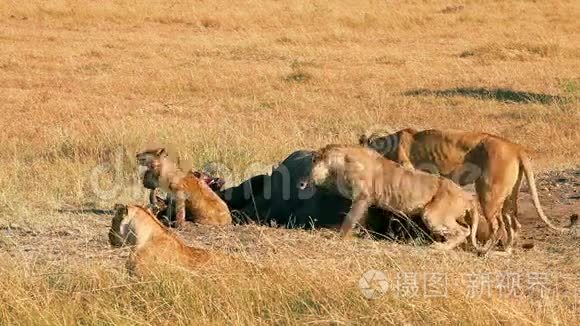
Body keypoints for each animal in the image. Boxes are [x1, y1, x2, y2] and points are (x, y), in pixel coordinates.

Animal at [304, 144, 484, 253]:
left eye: (312, 163)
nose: (304, 182)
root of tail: (468, 196)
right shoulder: (365, 201)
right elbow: (360, 219)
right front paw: (358, 234)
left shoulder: (362, 196)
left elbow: (350, 218)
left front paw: (339, 237)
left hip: (432, 214)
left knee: (465, 230)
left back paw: (439, 247)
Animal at [358, 129, 572, 253]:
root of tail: (516, 148)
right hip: (509, 196)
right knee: (513, 223)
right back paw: (506, 249)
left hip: (488, 193)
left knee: (497, 226)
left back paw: (486, 250)